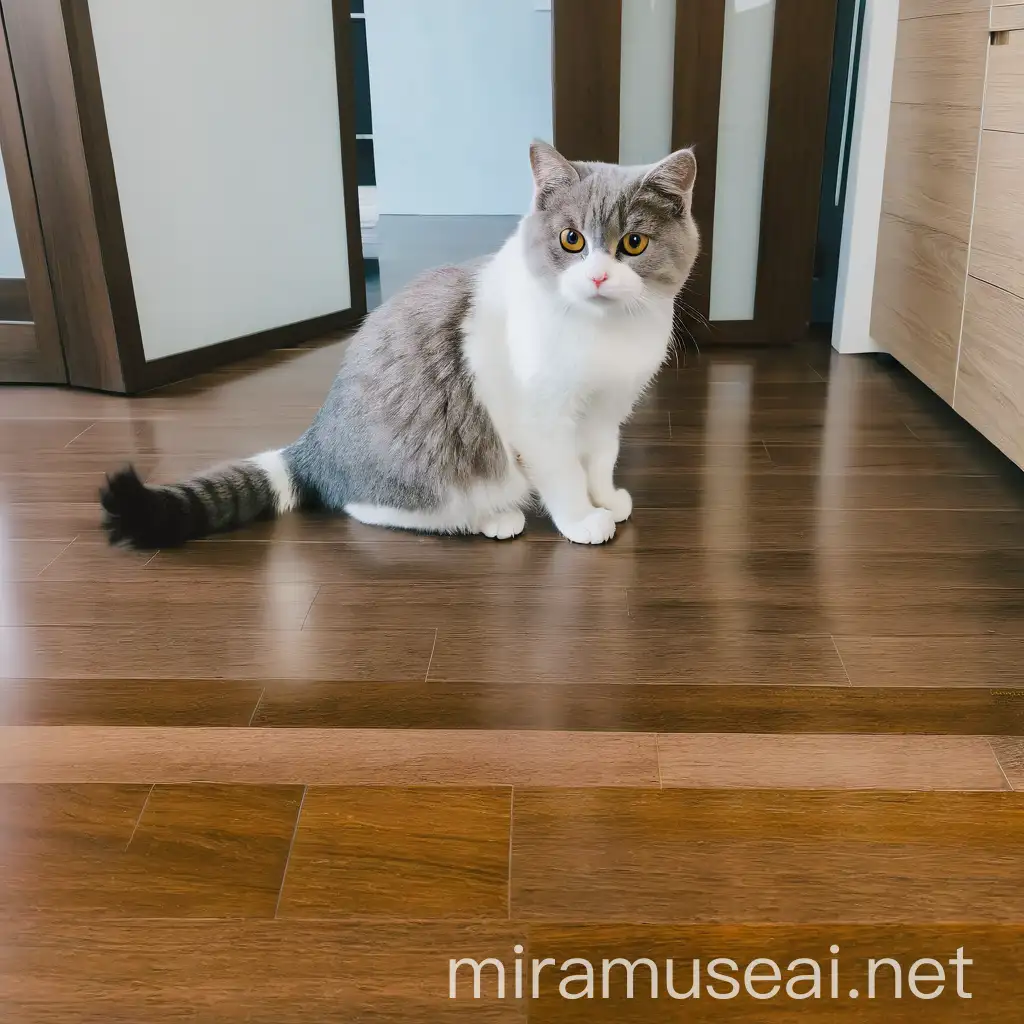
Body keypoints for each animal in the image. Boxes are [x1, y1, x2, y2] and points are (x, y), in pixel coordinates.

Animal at [101, 142, 696, 552]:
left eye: (633, 243)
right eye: (572, 239)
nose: (597, 276)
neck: (604, 335)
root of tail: (315, 445)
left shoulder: (606, 413)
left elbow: (599, 462)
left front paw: (607, 500)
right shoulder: (539, 421)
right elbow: (566, 474)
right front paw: (582, 520)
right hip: (427, 472)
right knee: (368, 507)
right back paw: (492, 518)